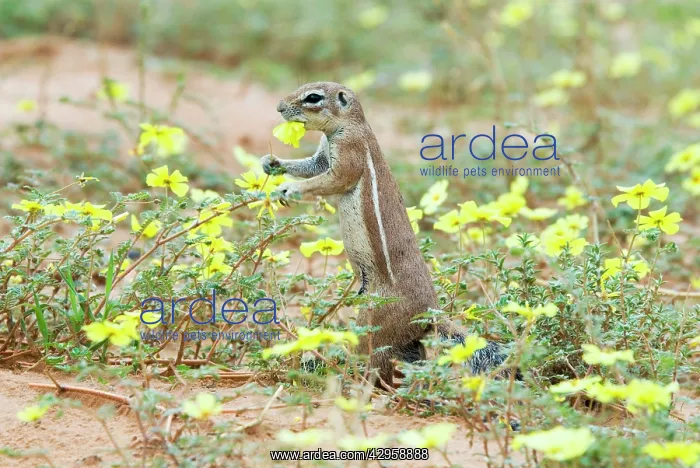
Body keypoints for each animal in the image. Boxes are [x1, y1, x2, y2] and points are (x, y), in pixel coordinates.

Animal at [261, 82, 518, 387]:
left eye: (313, 97)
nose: (278, 107)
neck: (347, 125)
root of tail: (430, 312)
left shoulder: (349, 149)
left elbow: (334, 179)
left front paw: (289, 188)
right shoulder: (323, 155)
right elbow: (311, 166)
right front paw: (272, 162)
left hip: (374, 319)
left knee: (376, 359)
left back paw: (353, 380)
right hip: (405, 340)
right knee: (411, 360)